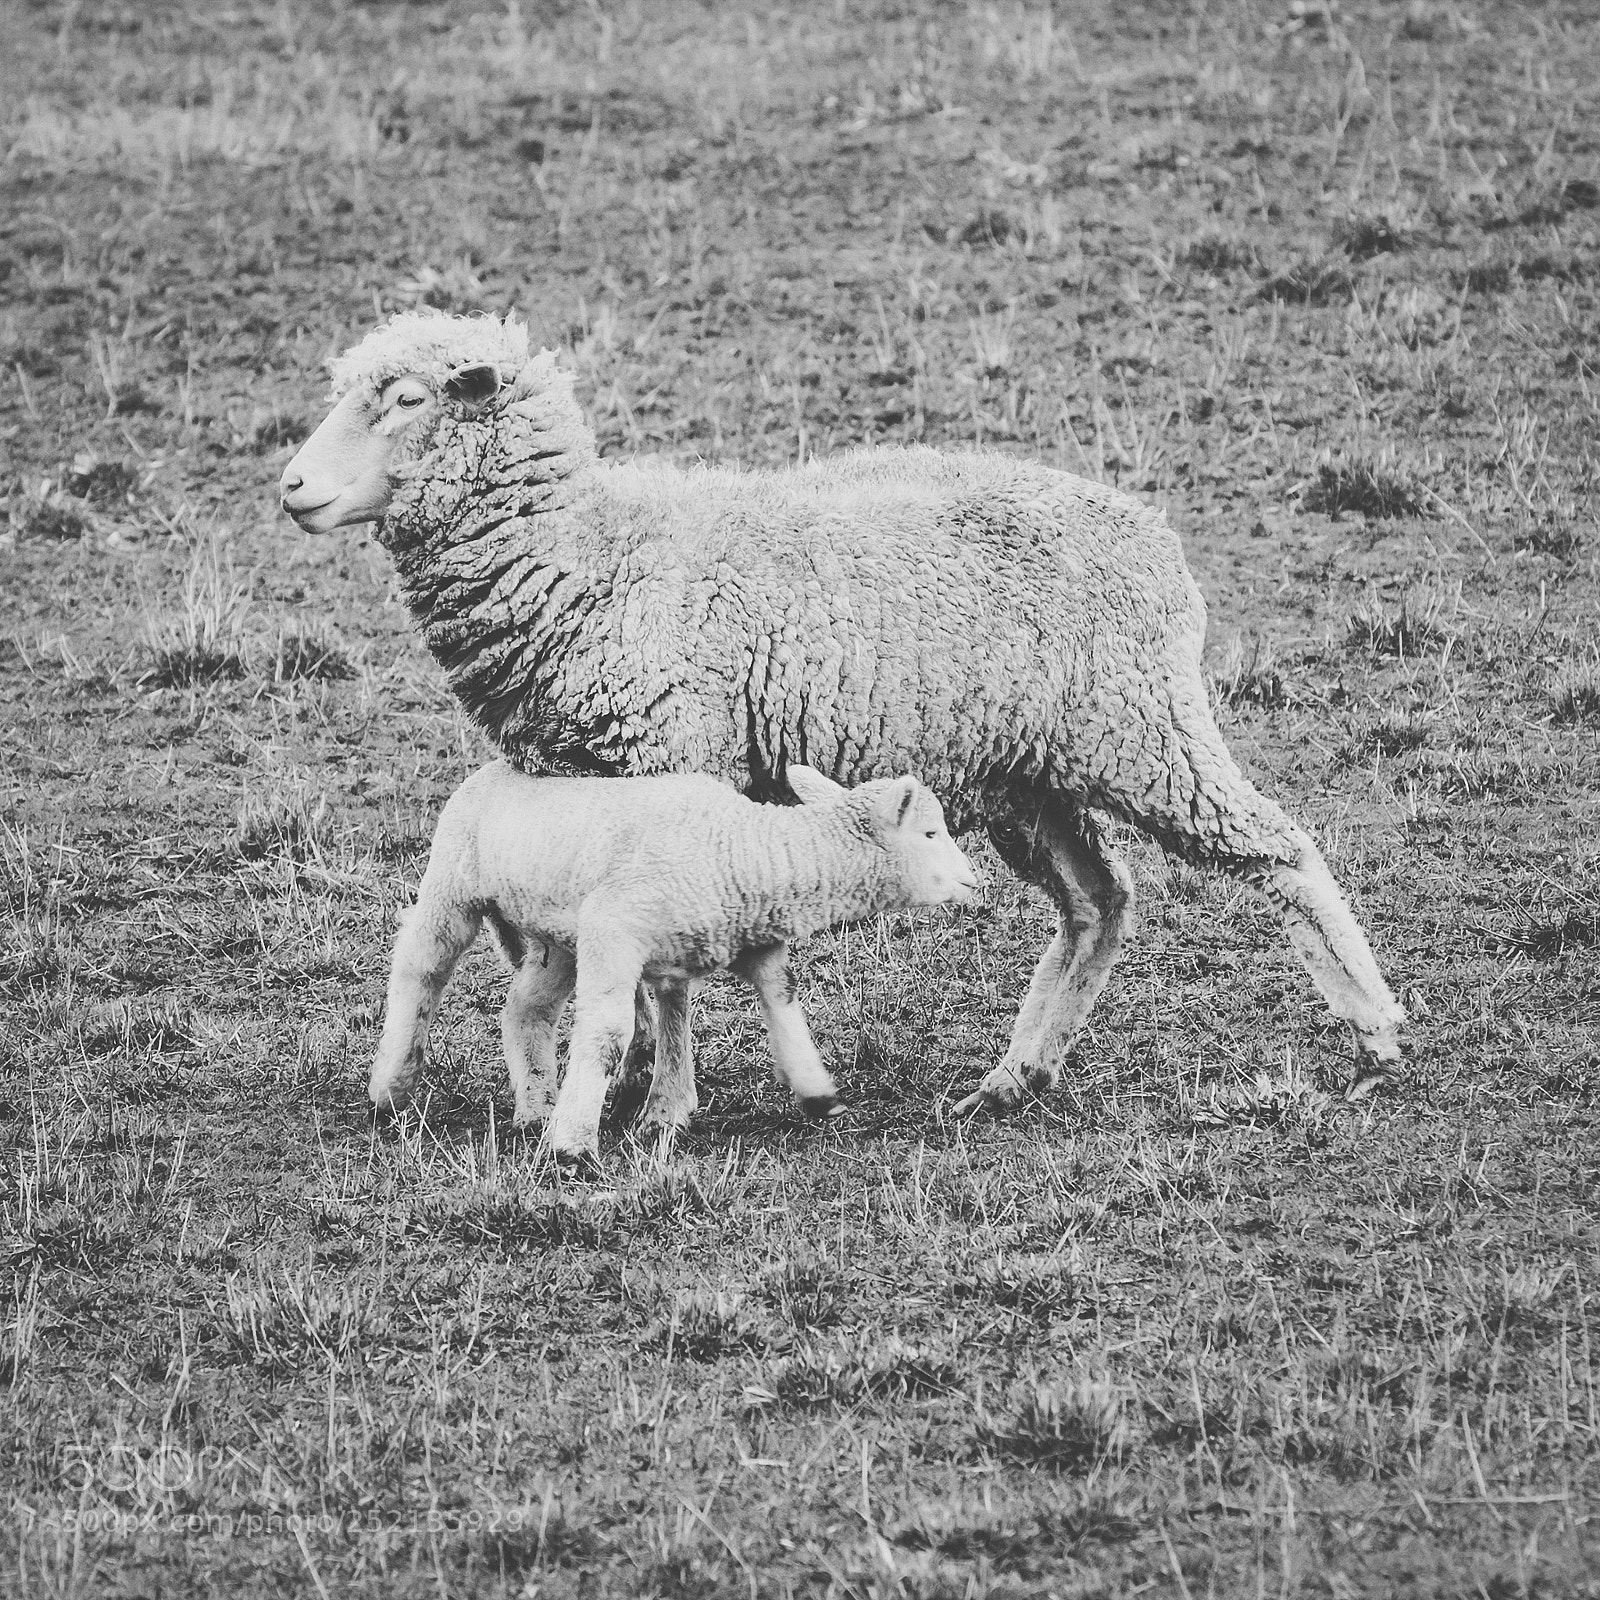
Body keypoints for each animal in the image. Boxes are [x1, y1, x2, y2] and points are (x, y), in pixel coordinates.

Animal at [282, 307, 1408, 1115]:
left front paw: (651, 1088)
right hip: (1028, 770)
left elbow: (652, 971)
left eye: (406, 397)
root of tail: (1155, 534)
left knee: (1278, 848)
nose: (291, 488)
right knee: (1100, 902)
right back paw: (1017, 1074)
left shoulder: (670, 756)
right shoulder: (572, 791)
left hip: (1140, 731)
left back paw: (1377, 1031)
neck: (591, 553)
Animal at [369, 761, 980, 1168]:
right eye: (930, 833)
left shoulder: (749, 942)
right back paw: (393, 1085)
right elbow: (609, 1036)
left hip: (556, 930)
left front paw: (816, 1092)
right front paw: (572, 1145)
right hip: (455, 885)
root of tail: (491, 767)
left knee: (526, 1009)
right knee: (421, 964)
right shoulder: (615, 926)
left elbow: (779, 1003)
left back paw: (537, 1107)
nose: (975, 881)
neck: (748, 850)